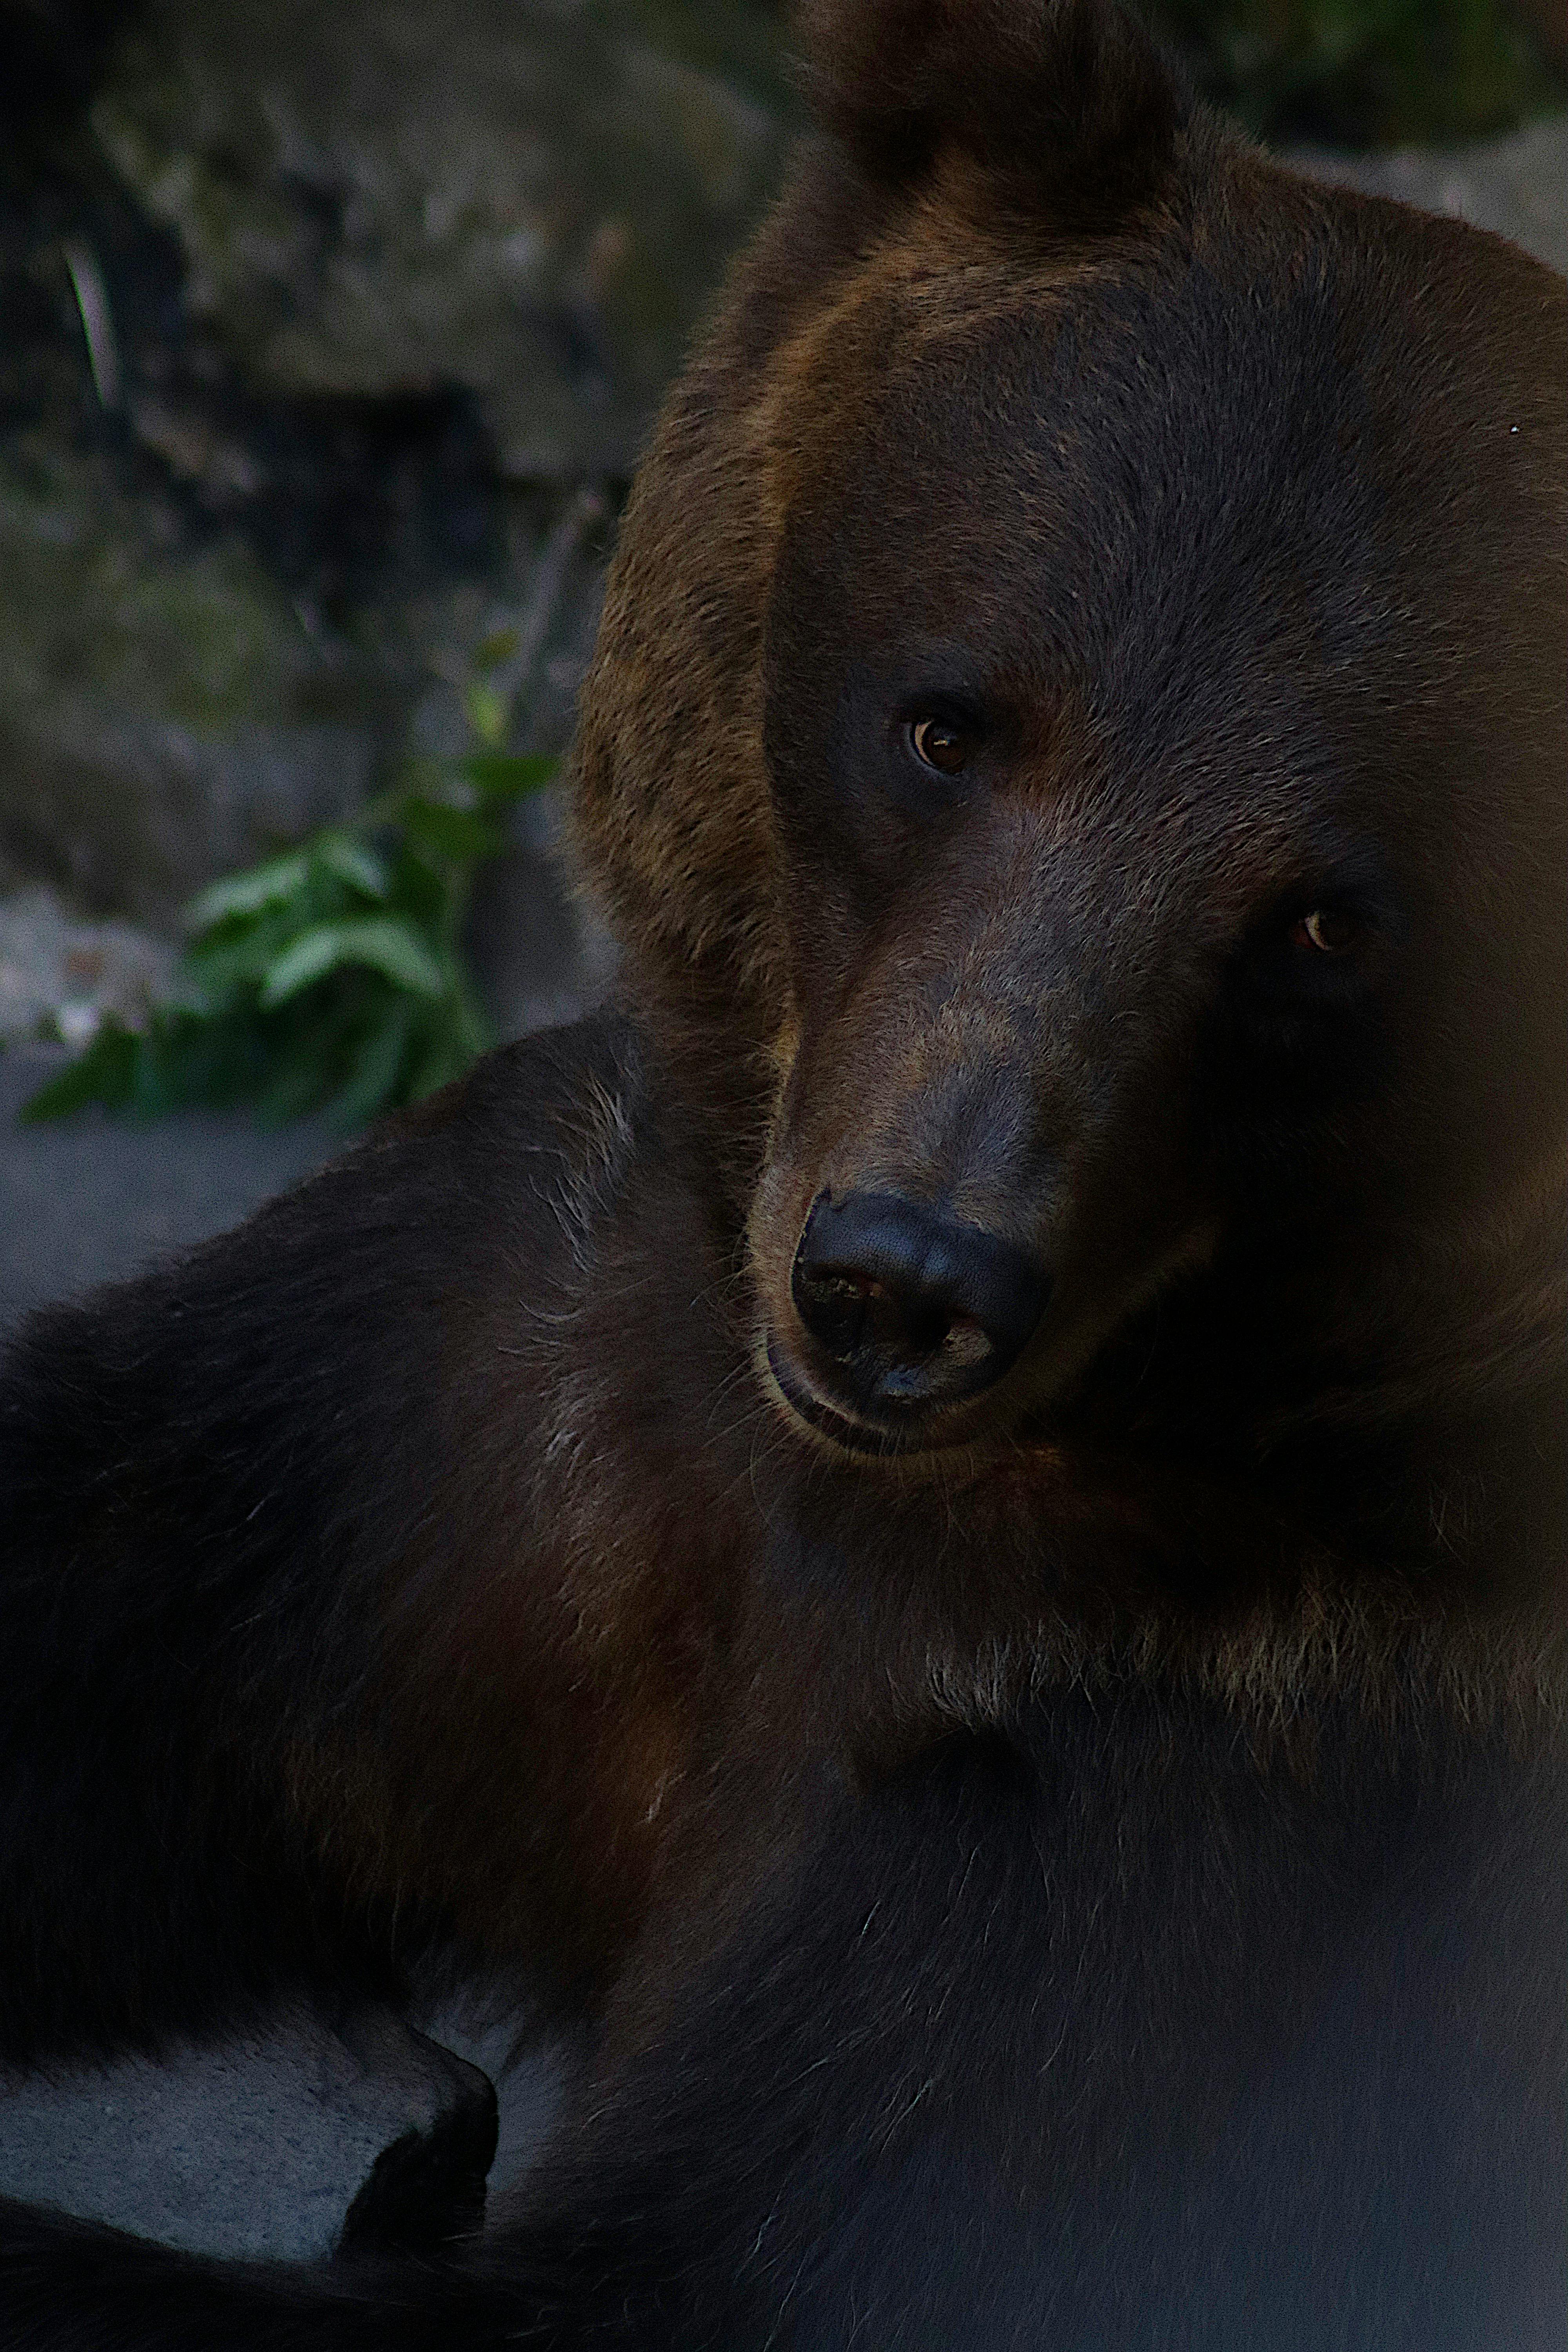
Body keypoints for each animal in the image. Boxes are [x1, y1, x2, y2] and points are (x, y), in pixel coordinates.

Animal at [1, 0, 1565, 2342]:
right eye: (946, 720)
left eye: (1324, 921)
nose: (905, 1279)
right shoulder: (485, 1404)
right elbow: (102, 1567)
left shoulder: (1226, 1801)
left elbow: (738, 2246)